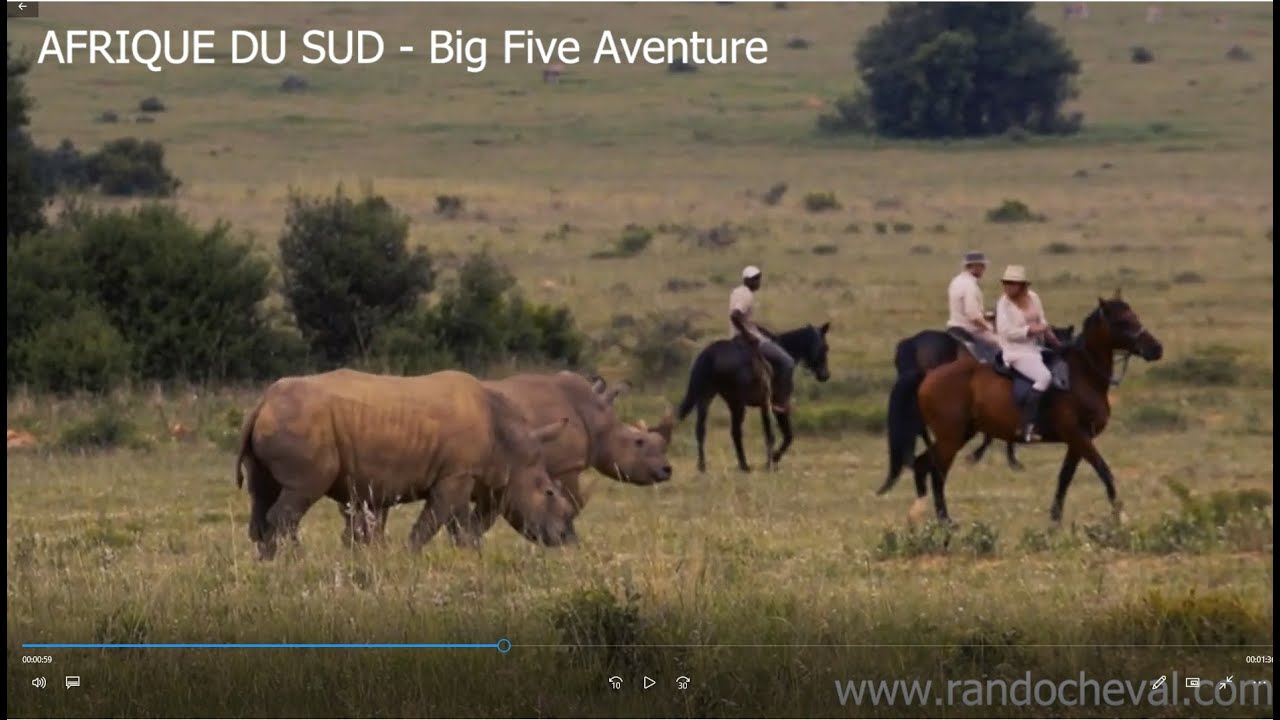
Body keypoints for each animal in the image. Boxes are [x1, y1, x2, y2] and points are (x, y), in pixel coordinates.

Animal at [676, 321, 831, 472]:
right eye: (825, 347)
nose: (825, 375)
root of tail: (711, 354)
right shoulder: (773, 404)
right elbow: (784, 435)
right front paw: (773, 460)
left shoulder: (764, 405)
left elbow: (775, 434)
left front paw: (771, 461)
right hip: (737, 403)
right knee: (736, 432)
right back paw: (745, 465)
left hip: (708, 398)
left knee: (703, 430)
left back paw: (706, 466)